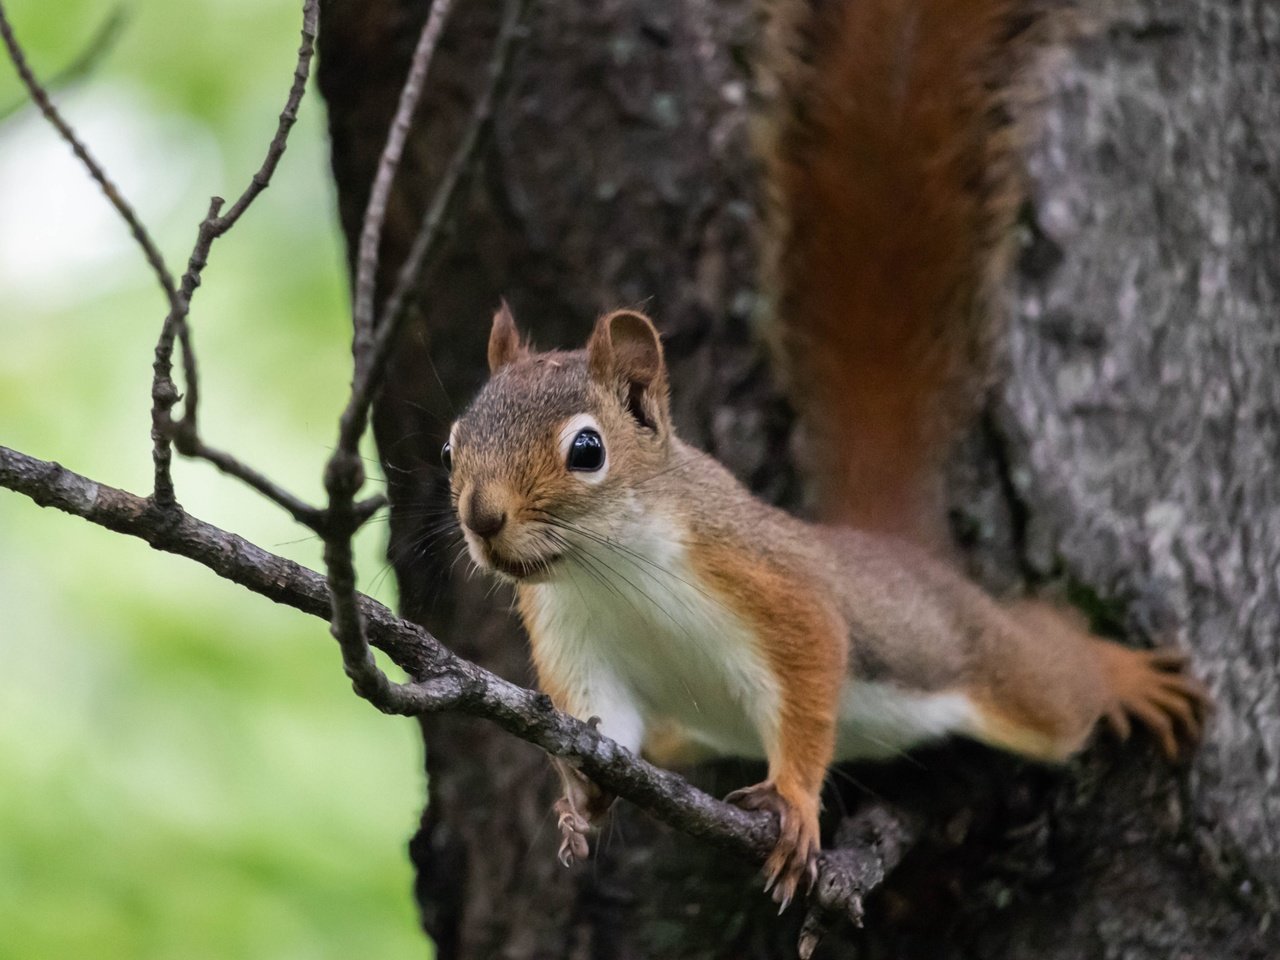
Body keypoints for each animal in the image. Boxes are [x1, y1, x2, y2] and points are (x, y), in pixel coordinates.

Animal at [442, 0, 1208, 916]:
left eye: (586, 450)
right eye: (452, 444)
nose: (483, 520)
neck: (610, 572)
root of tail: (893, 549)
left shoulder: (770, 584)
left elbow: (811, 681)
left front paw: (797, 804)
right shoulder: (576, 645)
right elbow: (604, 726)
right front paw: (581, 800)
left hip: (990, 665)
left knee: (1057, 675)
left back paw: (1124, 675)